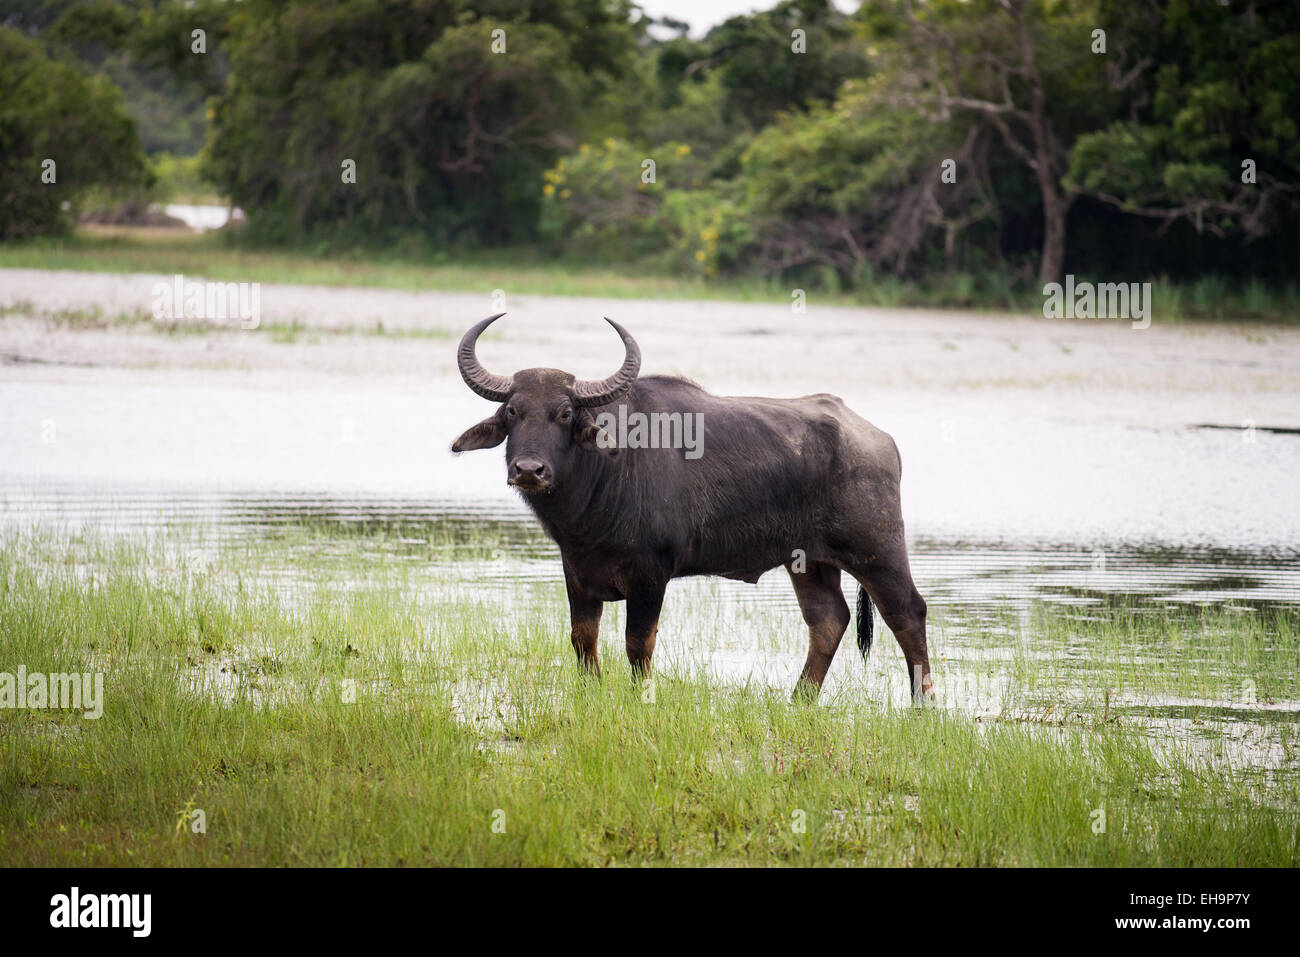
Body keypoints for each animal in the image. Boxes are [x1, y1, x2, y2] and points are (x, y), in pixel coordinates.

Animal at [452, 317, 930, 696]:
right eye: (512, 411)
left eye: (565, 413)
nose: (529, 470)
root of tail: (880, 439)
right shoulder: (576, 572)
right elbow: (582, 639)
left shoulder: (651, 575)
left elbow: (638, 643)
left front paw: (640, 697)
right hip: (809, 562)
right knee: (828, 621)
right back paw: (799, 700)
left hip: (877, 551)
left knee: (908, 614)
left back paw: (922, 706)